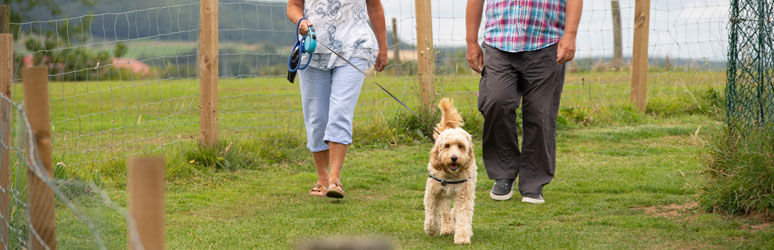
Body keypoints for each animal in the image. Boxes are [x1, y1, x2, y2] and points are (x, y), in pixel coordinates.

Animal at [424, 97, 478, 244]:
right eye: (447, 146)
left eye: (460, 146)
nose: (454, 158)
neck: (450, 176)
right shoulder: (432, 193)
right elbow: (431, 214)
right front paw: (431, 230)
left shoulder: (464, 196)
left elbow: (463, 216)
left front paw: (463, 237)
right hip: (443, 195)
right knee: (445, 211)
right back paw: (447, 228)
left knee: (452, 211)